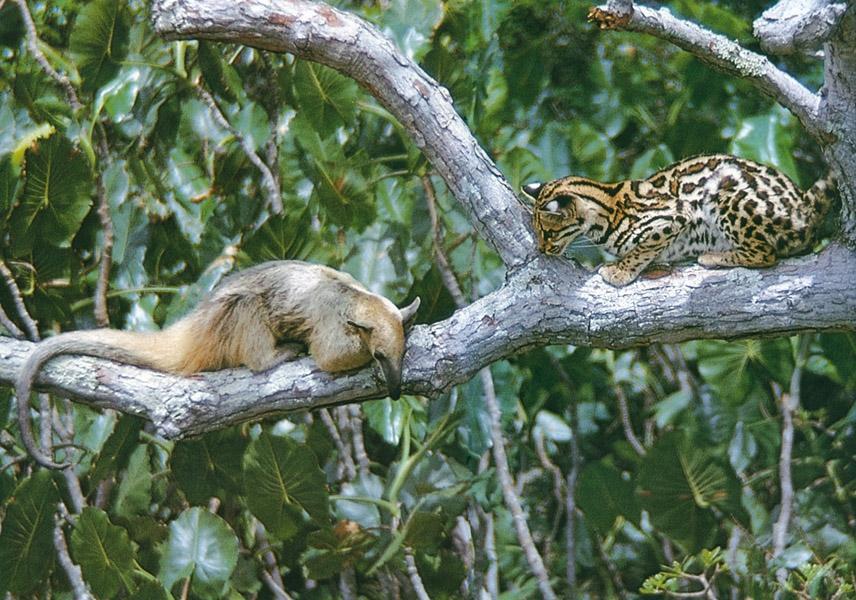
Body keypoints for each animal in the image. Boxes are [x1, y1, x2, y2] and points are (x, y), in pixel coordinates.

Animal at [520, 154, 836, 288]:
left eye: (548, 233)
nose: (542, 249)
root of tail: (804, 205)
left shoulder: (674, 215)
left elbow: (641, 249)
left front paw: (620, 271)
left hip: (725, 192)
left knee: (765, 253)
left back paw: (714, 256)